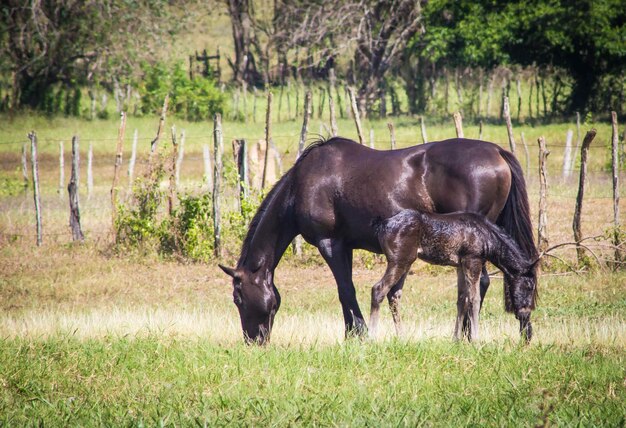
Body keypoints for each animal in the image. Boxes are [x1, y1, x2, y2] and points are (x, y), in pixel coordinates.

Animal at [370, 209, 536, 342]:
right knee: (378, 289)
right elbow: (474, 299)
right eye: (529, 286)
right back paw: (372, 338)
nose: (525, 316)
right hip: (399, 261)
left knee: (394, 295)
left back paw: (402, 337)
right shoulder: (472, 260)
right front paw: (476, 340)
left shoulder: (460, 266)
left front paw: (456, 339)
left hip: (406, 262)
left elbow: (462, 299)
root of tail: (383, 225)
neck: (488, 237)